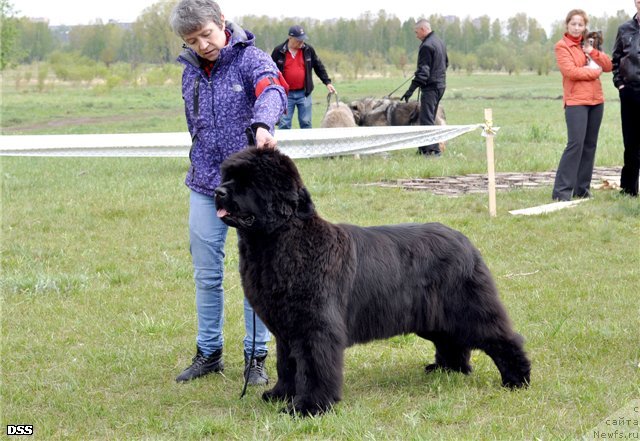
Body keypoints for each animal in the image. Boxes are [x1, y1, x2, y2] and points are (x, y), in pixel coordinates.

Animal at [215, 146, 528, 414]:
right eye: (228, 176)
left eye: (250, 182)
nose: (218, 191)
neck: (282, 241)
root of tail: (465, 240)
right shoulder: (287, 328)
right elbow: (287, 364)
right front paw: (280, 394)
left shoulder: (316, 326)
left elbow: (313, 366)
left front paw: (308, 407)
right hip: (434, 317)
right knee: (451, 340)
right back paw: (448, 369)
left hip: (467, 308)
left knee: (501, 337)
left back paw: (517, 379)